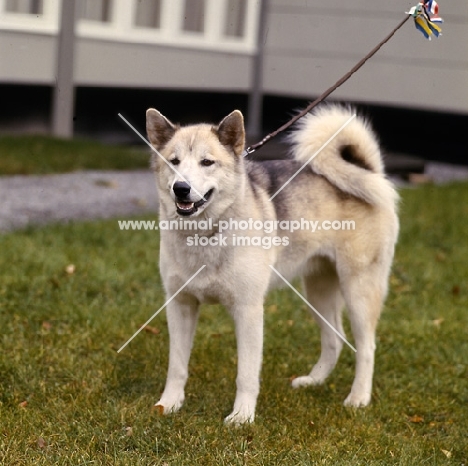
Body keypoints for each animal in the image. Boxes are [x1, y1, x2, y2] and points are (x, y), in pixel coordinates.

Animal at [145, 106, 398, 426]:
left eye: (207, 162)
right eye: (173, 161)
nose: (181, 188)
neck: (205, 235)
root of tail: (369, 173)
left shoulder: (249, 310)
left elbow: (246, 373)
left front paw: (242, 416)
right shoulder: (180, 304)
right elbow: (176, 366)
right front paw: (169, 404)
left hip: (359, 291)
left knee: (366, 347)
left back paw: (359, 397)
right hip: (317, 291)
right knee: (335, 339)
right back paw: (313, 381)